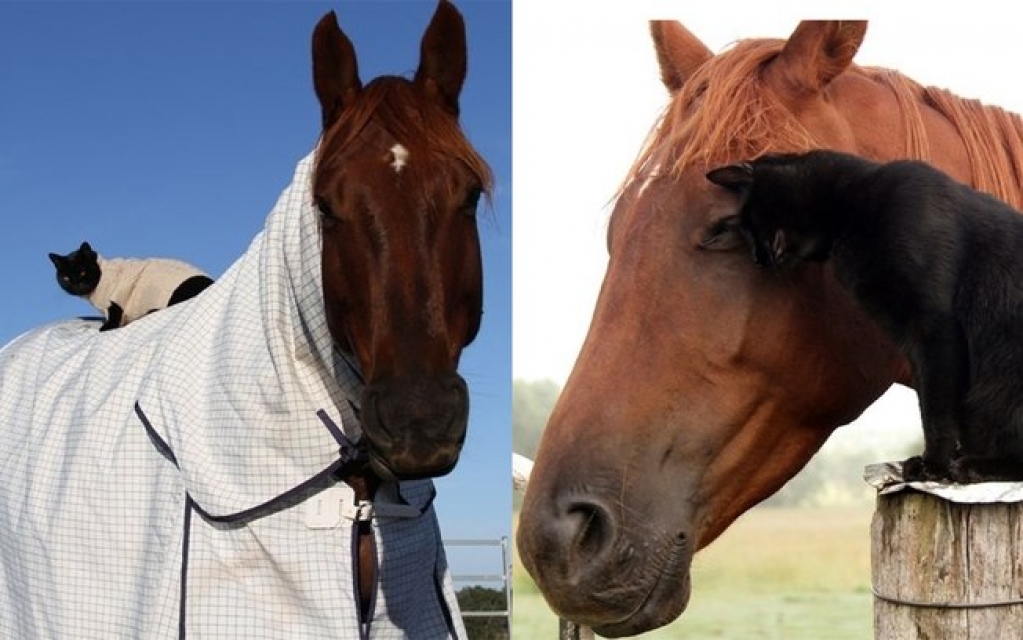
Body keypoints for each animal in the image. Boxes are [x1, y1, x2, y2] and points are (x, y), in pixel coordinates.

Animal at [707, 148, 1023, 478]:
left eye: (750, 225)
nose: (759, 259)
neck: (854, 210)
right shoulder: (910, 340)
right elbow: (930, 401)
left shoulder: (934, 327)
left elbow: (937, 407)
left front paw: (935, 465)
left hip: (1001, 384)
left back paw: (977, 465)